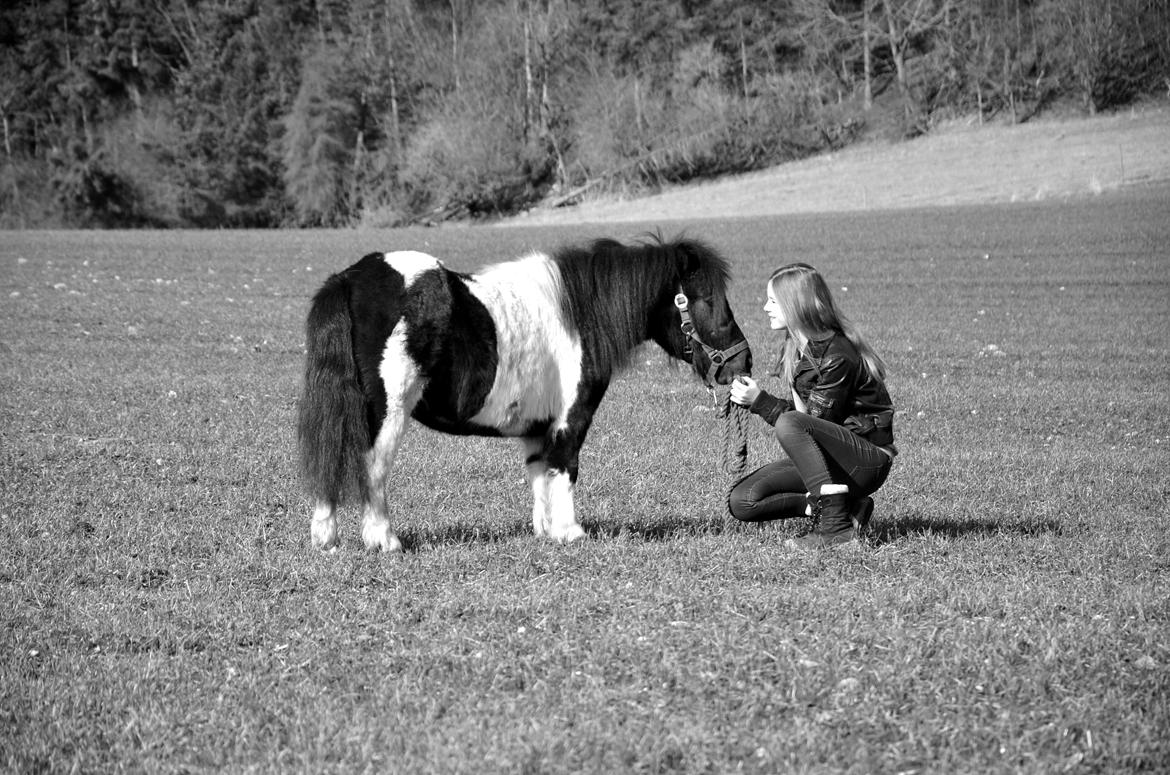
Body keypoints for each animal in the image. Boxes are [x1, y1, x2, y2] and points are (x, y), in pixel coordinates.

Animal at [297, 235, 752, 552]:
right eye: (706, 300)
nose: (742, 362)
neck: (577, 319)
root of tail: (349, 279)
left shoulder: (537, 428)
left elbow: (540, 476)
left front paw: (546, 531)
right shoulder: (570, 420)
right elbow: (565, 469)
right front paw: (571, 533)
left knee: (329, 460)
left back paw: (326, 539)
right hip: (387, 414)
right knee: (371, 468)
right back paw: (385, 541)